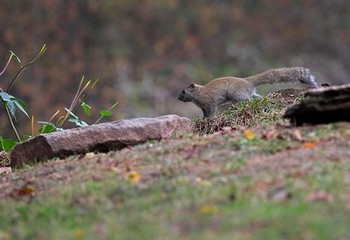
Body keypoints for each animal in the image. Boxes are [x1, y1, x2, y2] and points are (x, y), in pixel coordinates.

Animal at [179, 66, 318, 118]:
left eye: (184, 91)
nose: (178, 98)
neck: (198, 93)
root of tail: (248, 82)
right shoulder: (203, 107)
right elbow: (204, 114)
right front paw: (203, 119)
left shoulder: (210, 103)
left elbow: (211, 112)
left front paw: (209, 119)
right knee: (257, 97)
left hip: (237, 94)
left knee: (249, 99)